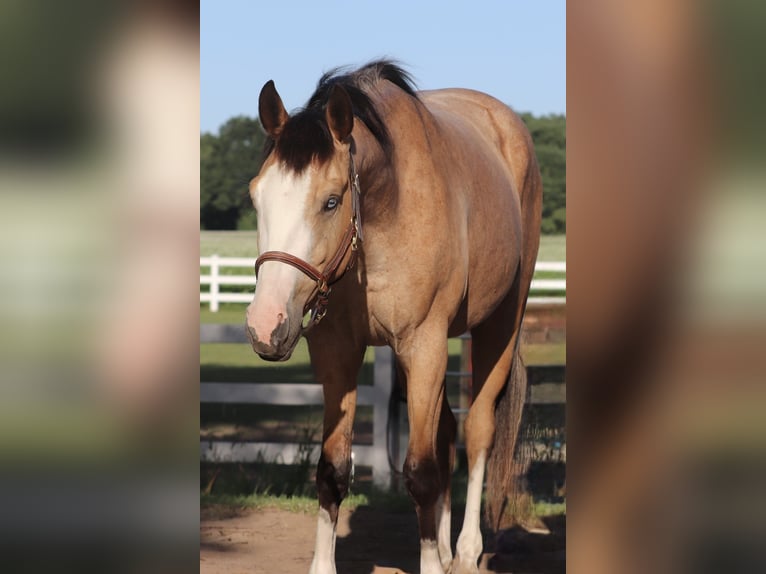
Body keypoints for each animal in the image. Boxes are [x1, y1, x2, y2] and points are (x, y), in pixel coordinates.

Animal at [245, 60, 541, 574]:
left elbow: (420, 473)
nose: (266, 325)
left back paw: (465, 551)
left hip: (499, 325)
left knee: (476, 432)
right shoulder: (338, 352)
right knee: (445, 434)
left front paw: (435, 561)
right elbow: (333, 470)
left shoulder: (423, 346)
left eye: (331, 201)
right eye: (256, 198)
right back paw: (443, 546)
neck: (385, 213)